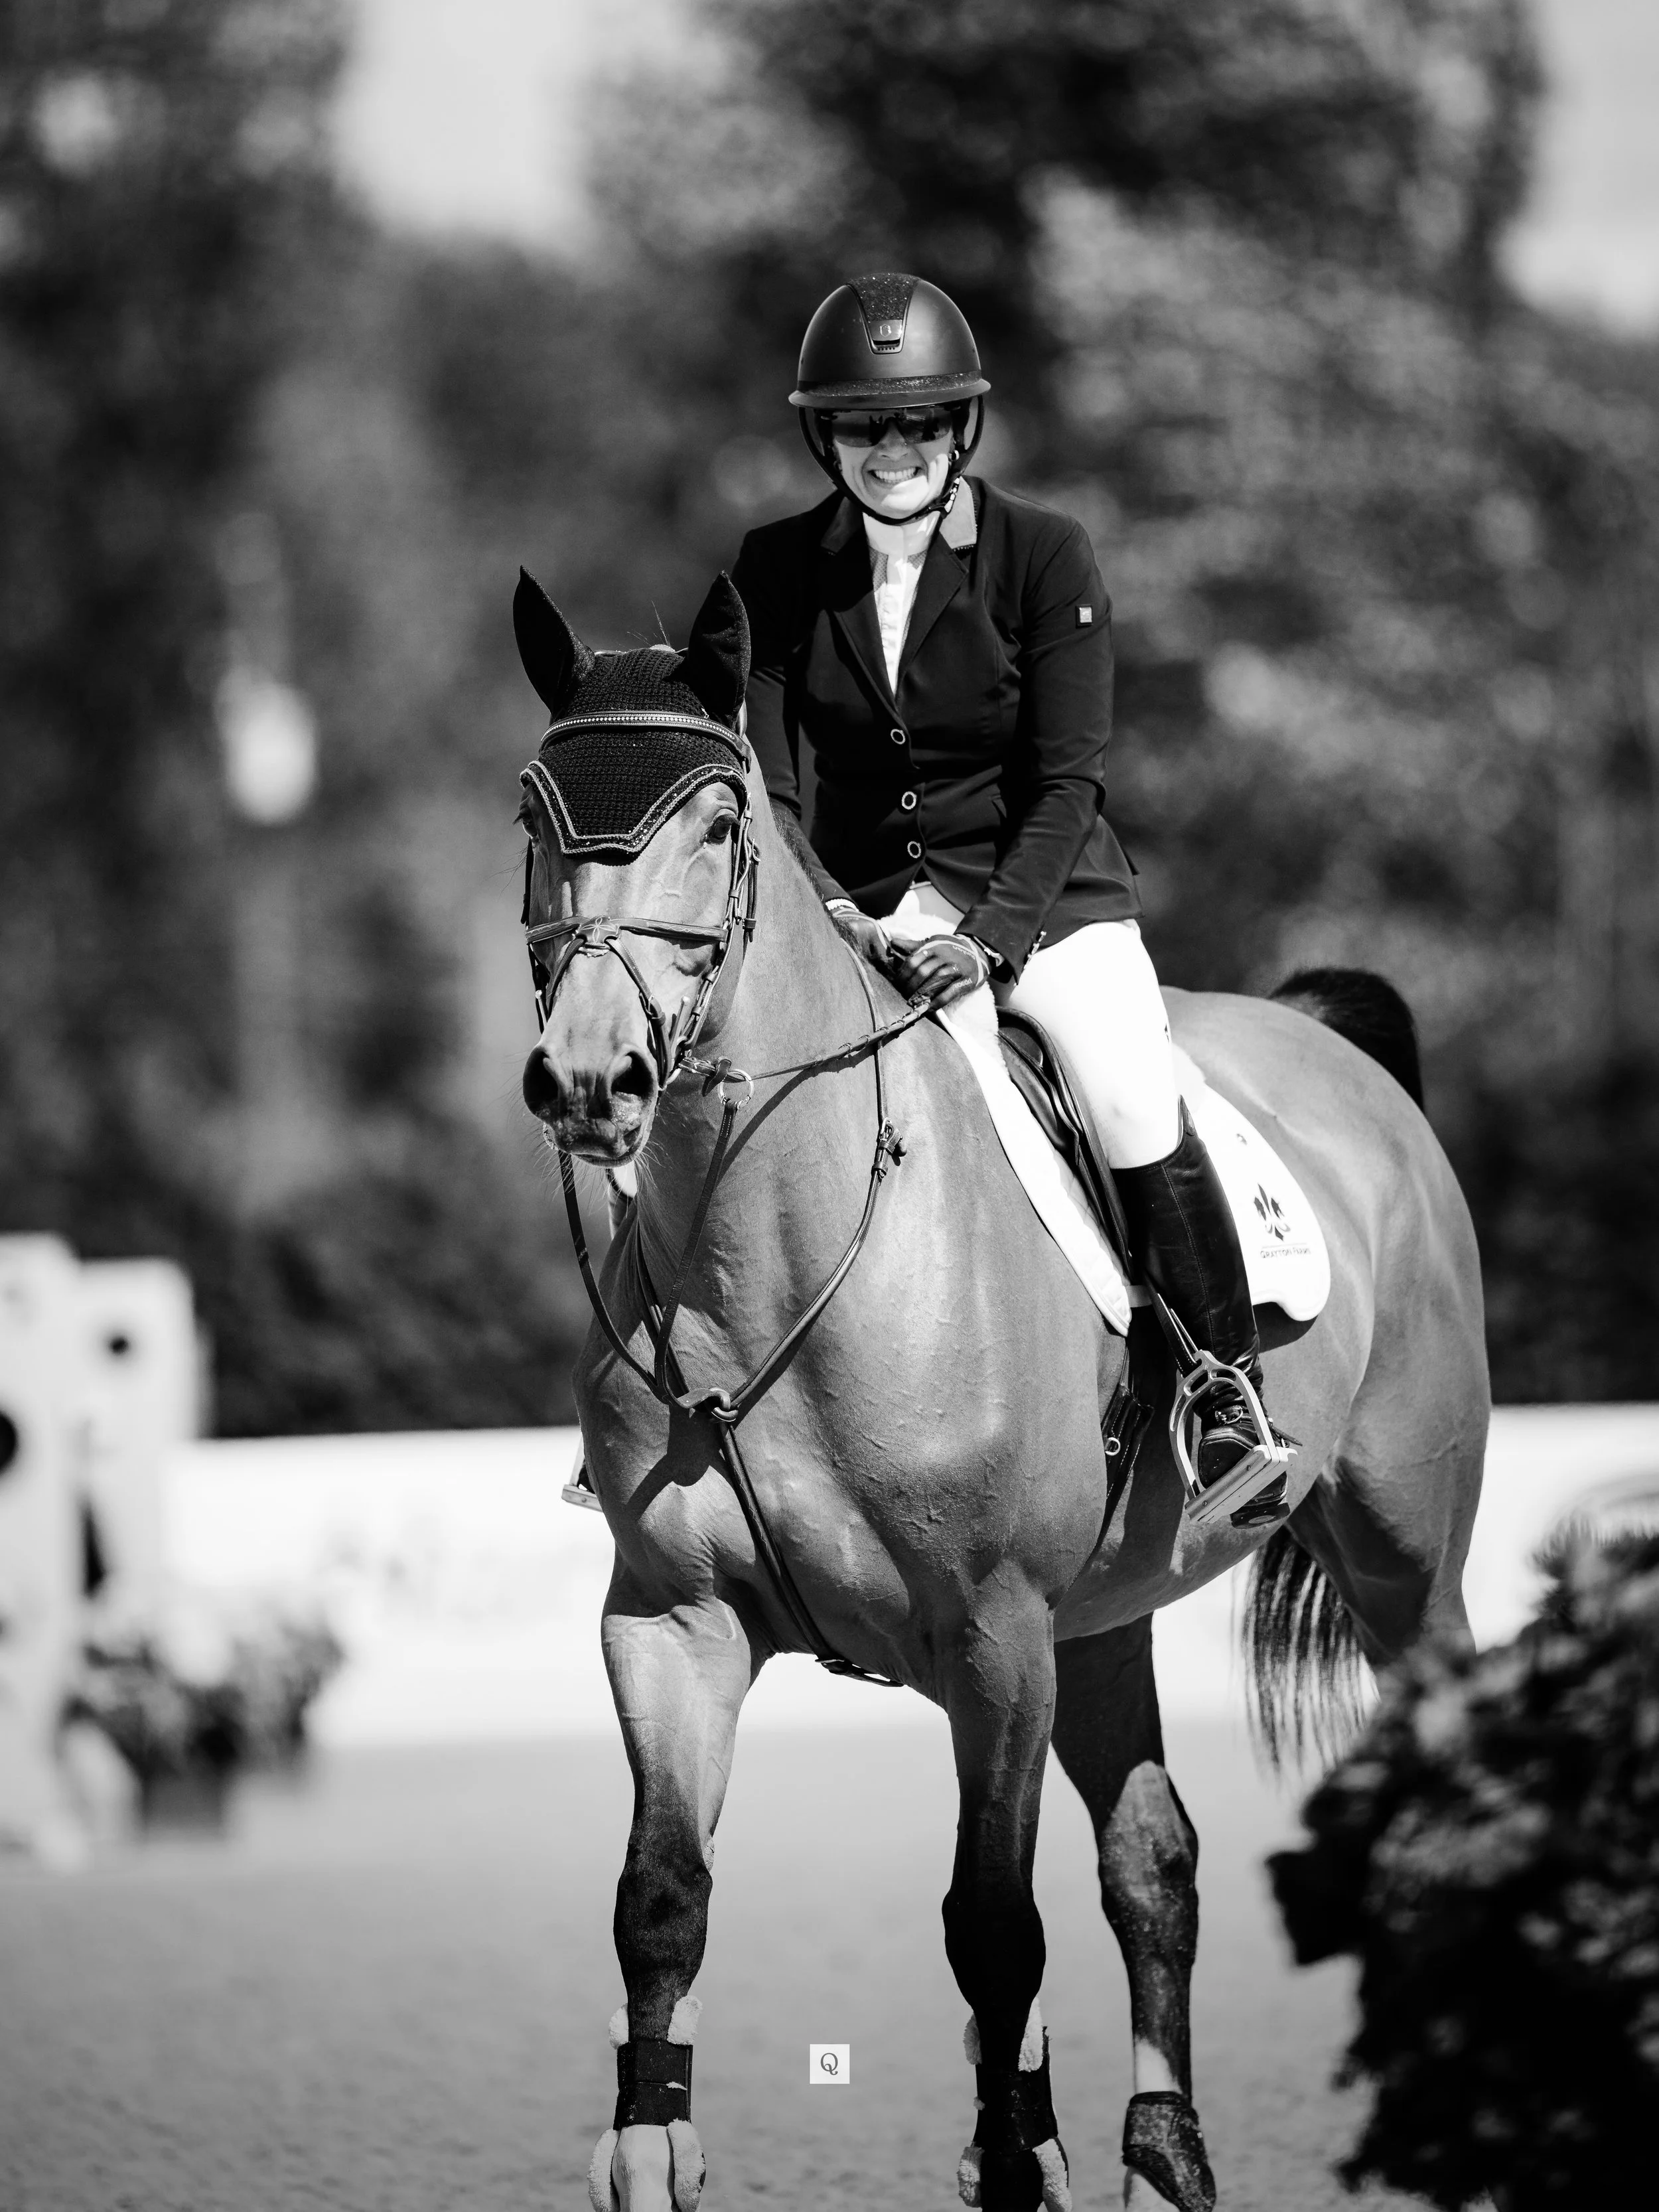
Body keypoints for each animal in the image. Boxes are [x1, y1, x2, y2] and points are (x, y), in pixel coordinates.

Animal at [512, 570, 1488, 2212]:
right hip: (1102, 1618)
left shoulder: (993, 1634)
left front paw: (1012, 2160)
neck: (772, 1244)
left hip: (1399, 1559)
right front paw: (651, 2150)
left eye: (715, 822)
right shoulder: (671, 1620)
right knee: (1151, 1861)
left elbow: (989, 1925)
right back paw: (1161, 2152)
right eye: (529, 813)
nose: (591, 1080)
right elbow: (660, 1897)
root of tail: (1323, 1039)